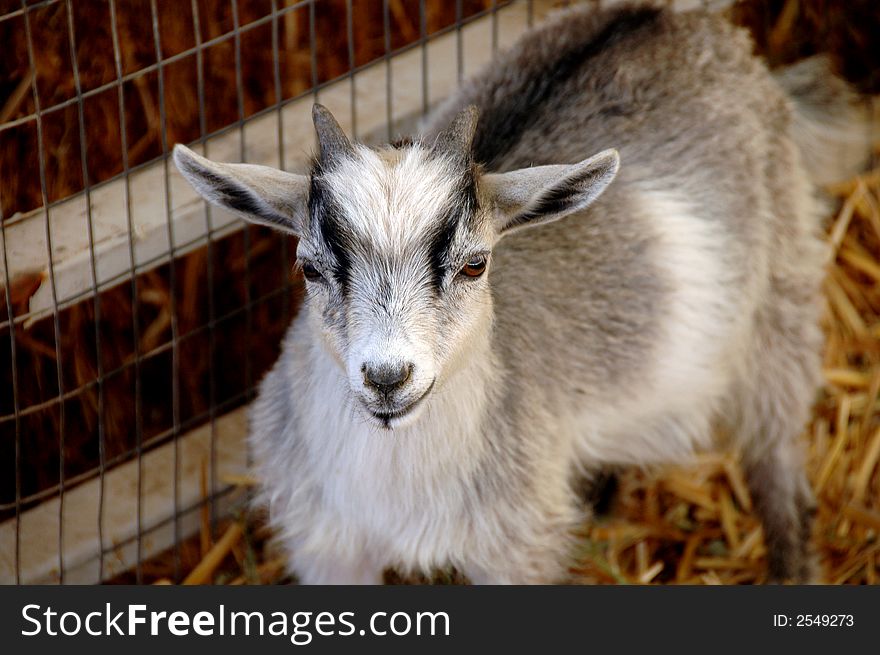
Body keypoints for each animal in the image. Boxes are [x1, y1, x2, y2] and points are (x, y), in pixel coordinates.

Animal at [172, 1, 868, 584]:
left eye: (475, 265)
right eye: (310, 269)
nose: (388, 377)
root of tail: (673, 17)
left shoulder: (517, 545)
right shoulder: (325, 545)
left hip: (782, 289)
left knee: (777, 452)